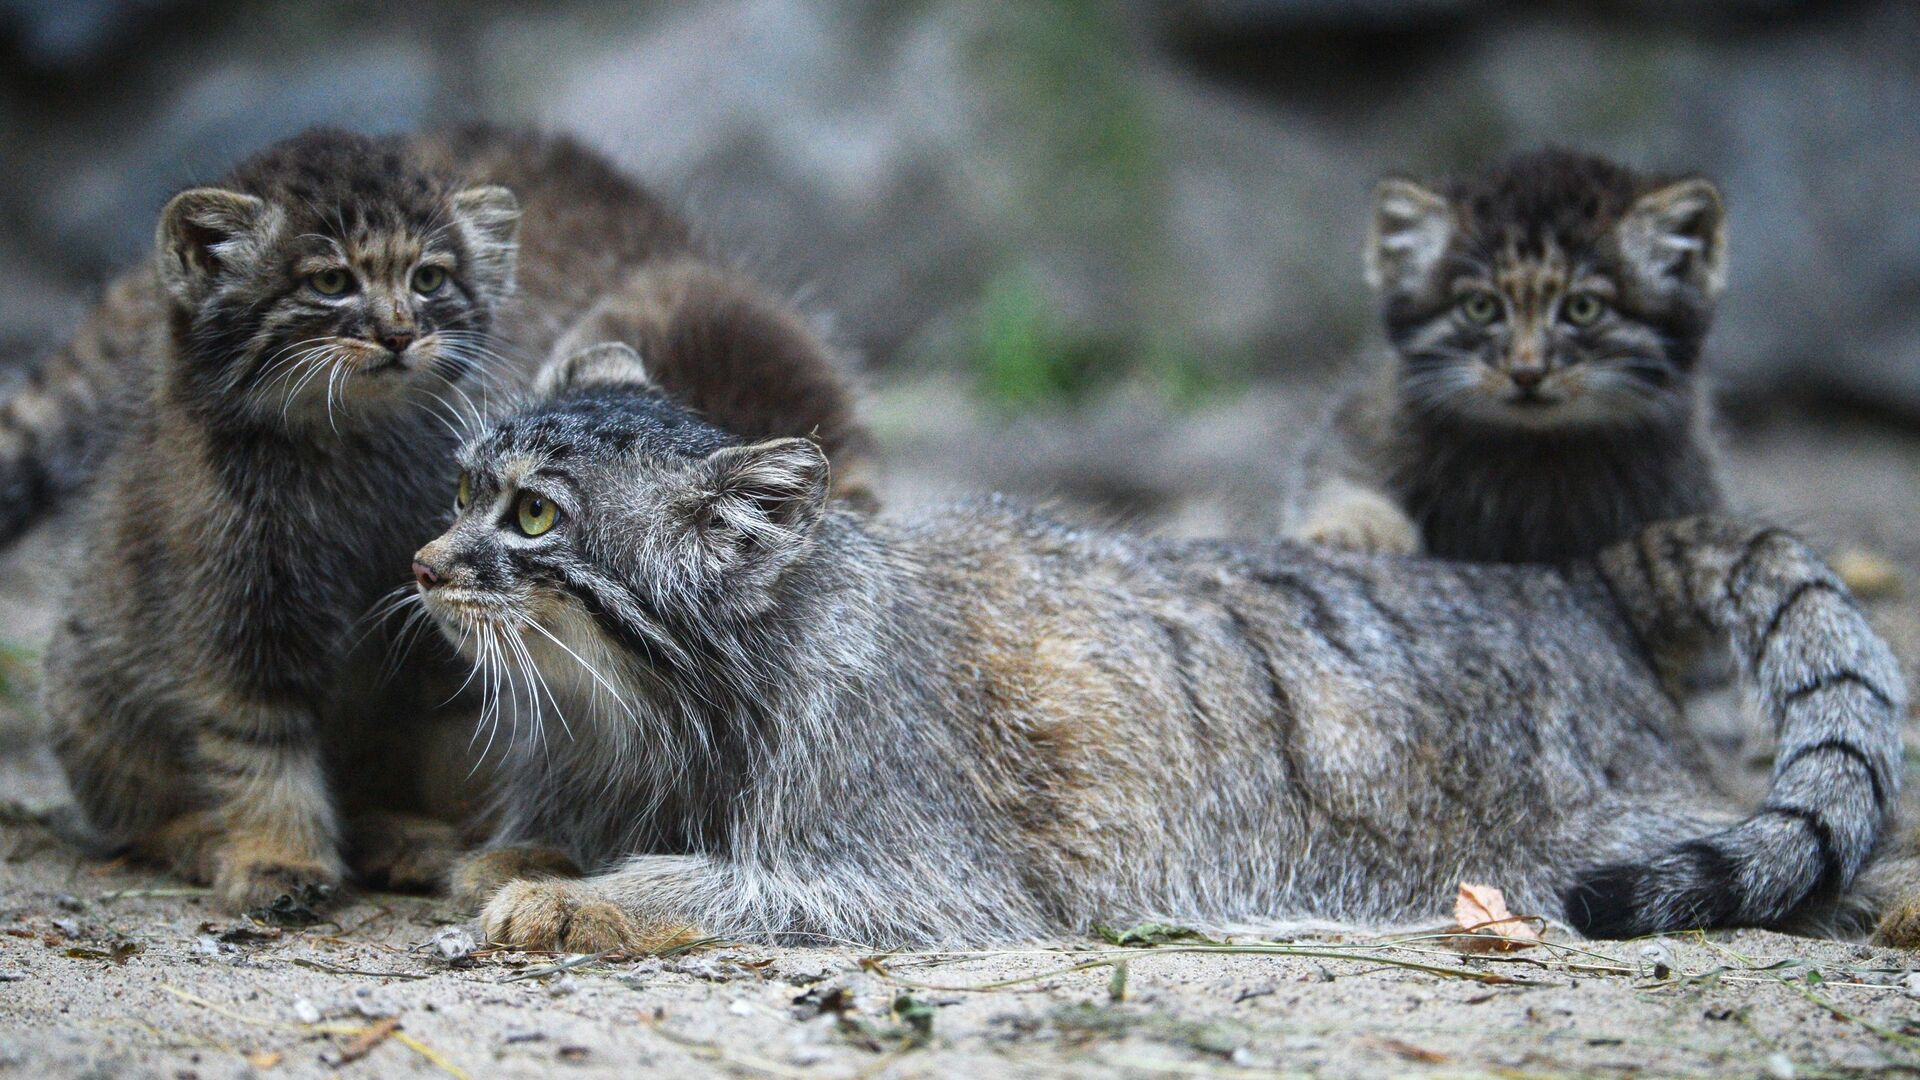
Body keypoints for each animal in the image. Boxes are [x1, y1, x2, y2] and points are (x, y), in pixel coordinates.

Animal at [41, 130, 867, 910]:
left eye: (428, 280)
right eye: (331, 283)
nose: (398, 332)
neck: (348, 450)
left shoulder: (434, 657)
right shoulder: (235, 613)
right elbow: (256, 746)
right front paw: (278, 858)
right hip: (92, 688)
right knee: (133, 809)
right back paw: (203, 836)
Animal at [408, 342, 1904, 941]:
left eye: (530, 515)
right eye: (460, 490)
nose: (422, 565)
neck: (655, 702)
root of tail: (1575, 582)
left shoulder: (925, 879)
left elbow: (714, 884)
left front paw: (582, 896)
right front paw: (518, 859)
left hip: (1594, 842)